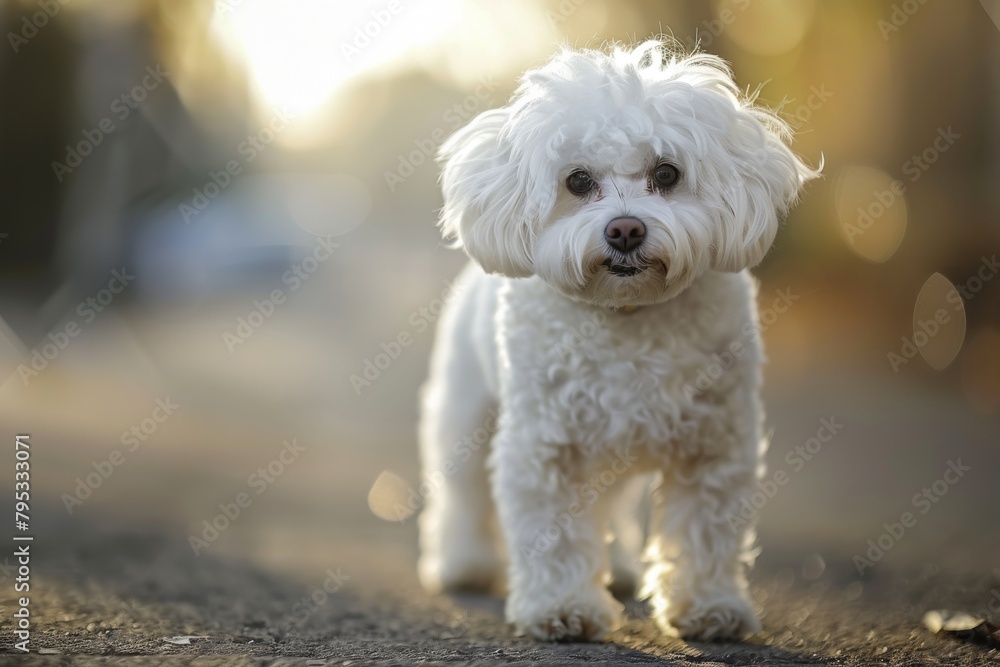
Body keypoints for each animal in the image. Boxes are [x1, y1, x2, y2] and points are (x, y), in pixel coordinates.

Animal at [418, 40, 816, 640]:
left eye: (667, 172)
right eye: (578, 181)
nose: (625, 229)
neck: (626, 311)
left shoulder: (714, 444)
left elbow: (706, 529)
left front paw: (709, 606)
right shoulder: (546, 446)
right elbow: (554, 533)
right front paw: (562, 608)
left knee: (614, 507)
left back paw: (623, 570)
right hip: (466, 416)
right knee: (462, 493)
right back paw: (465, 563)